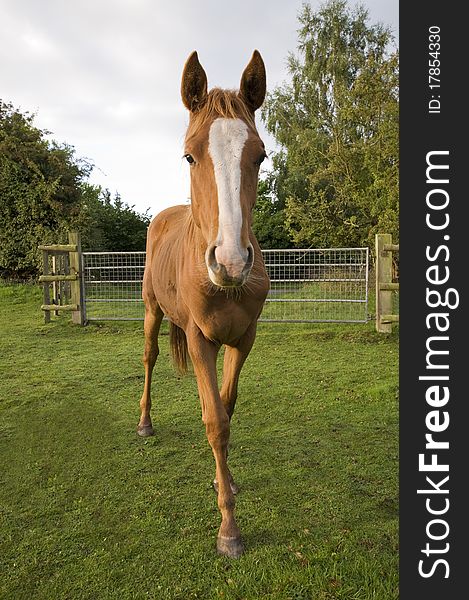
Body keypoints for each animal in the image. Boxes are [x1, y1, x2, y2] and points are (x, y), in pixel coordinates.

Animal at [136, 50, 266, 556]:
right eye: (190, 154)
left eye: (260, 155)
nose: (231, 261)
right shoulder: (199, 340)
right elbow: (215, 422)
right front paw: (229, 529)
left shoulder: (243, 339)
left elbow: (227, 409)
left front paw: (223, 483)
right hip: (152, 311)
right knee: (150, 357)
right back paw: (145, 423)